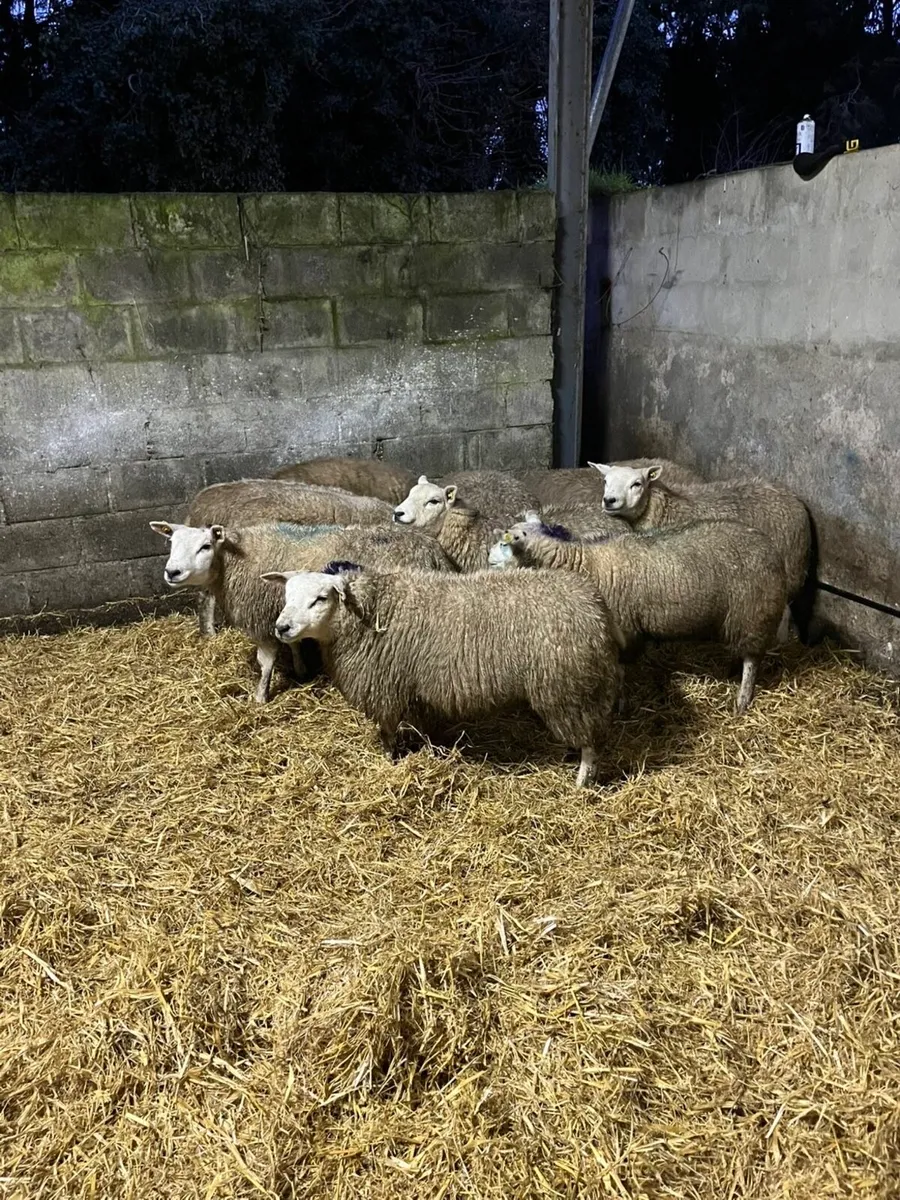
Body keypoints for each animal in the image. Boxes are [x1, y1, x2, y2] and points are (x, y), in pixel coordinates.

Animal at [149, 520, 455, 703]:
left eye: (205, 546)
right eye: (172, 544)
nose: (172, 572)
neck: (234, 560)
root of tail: (435, 552)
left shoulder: (261, 619)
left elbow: (265, 662)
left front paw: (260, 696)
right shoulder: (283, 612)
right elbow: (293, 640)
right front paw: (301, 669)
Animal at [263, 564, 623, 787]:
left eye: (320, 598)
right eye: (286, 596)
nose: (282, 628)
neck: (367, 613)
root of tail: (595, 604)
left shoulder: (385, 686)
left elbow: (388, 729)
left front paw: (390, 759)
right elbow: (422, 726)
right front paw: (429, 750)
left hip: (569, 687)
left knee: (591, 742)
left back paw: (581, 781)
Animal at [490, 518, 789, 713]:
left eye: (506, 543)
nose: (488, 557)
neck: (582, 564)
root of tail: (772, 549)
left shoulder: (623, 629)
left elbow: (621, 671)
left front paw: (619, 705)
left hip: (753, 613)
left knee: (752, 658)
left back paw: (743, 698)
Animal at [591, 464, 812, 623]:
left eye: (637, 483)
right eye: (605, 481)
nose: (609, 500)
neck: (665, 508)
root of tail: (795, 501)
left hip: (785, 569)